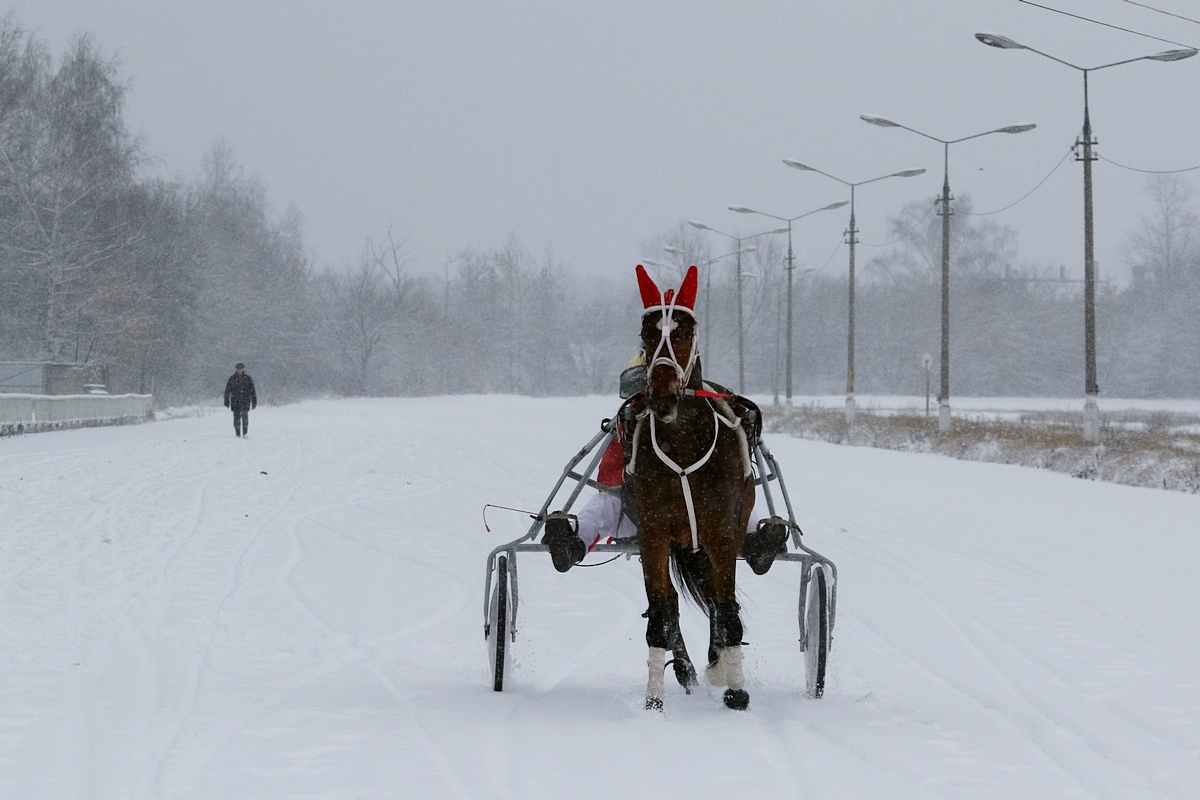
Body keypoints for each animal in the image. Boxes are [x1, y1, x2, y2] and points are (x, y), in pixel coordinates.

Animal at [624, 266, 753, 710]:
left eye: (685, 331)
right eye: (646, 333)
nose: (662, 395)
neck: (681, 444)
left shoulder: (722, 532)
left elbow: (726, 607)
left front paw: (735, 689)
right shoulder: (653, 533)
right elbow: (661, 612)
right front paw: (653, 699)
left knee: (715, 599)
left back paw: (717, 666)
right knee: (673, 607)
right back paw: (688, 671)